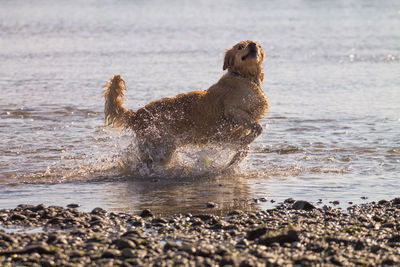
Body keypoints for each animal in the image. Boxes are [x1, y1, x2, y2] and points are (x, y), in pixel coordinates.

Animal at [102, 40, 268, 170]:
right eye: (241, 46)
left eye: (257, 44)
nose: (253, 45)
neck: (245, 77)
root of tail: (136, 114)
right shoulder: (233, 112)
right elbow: (257, 129)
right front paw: (242, 143)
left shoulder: (234, 130)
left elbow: (245, 146)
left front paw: (235, 158)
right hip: (164, 144)